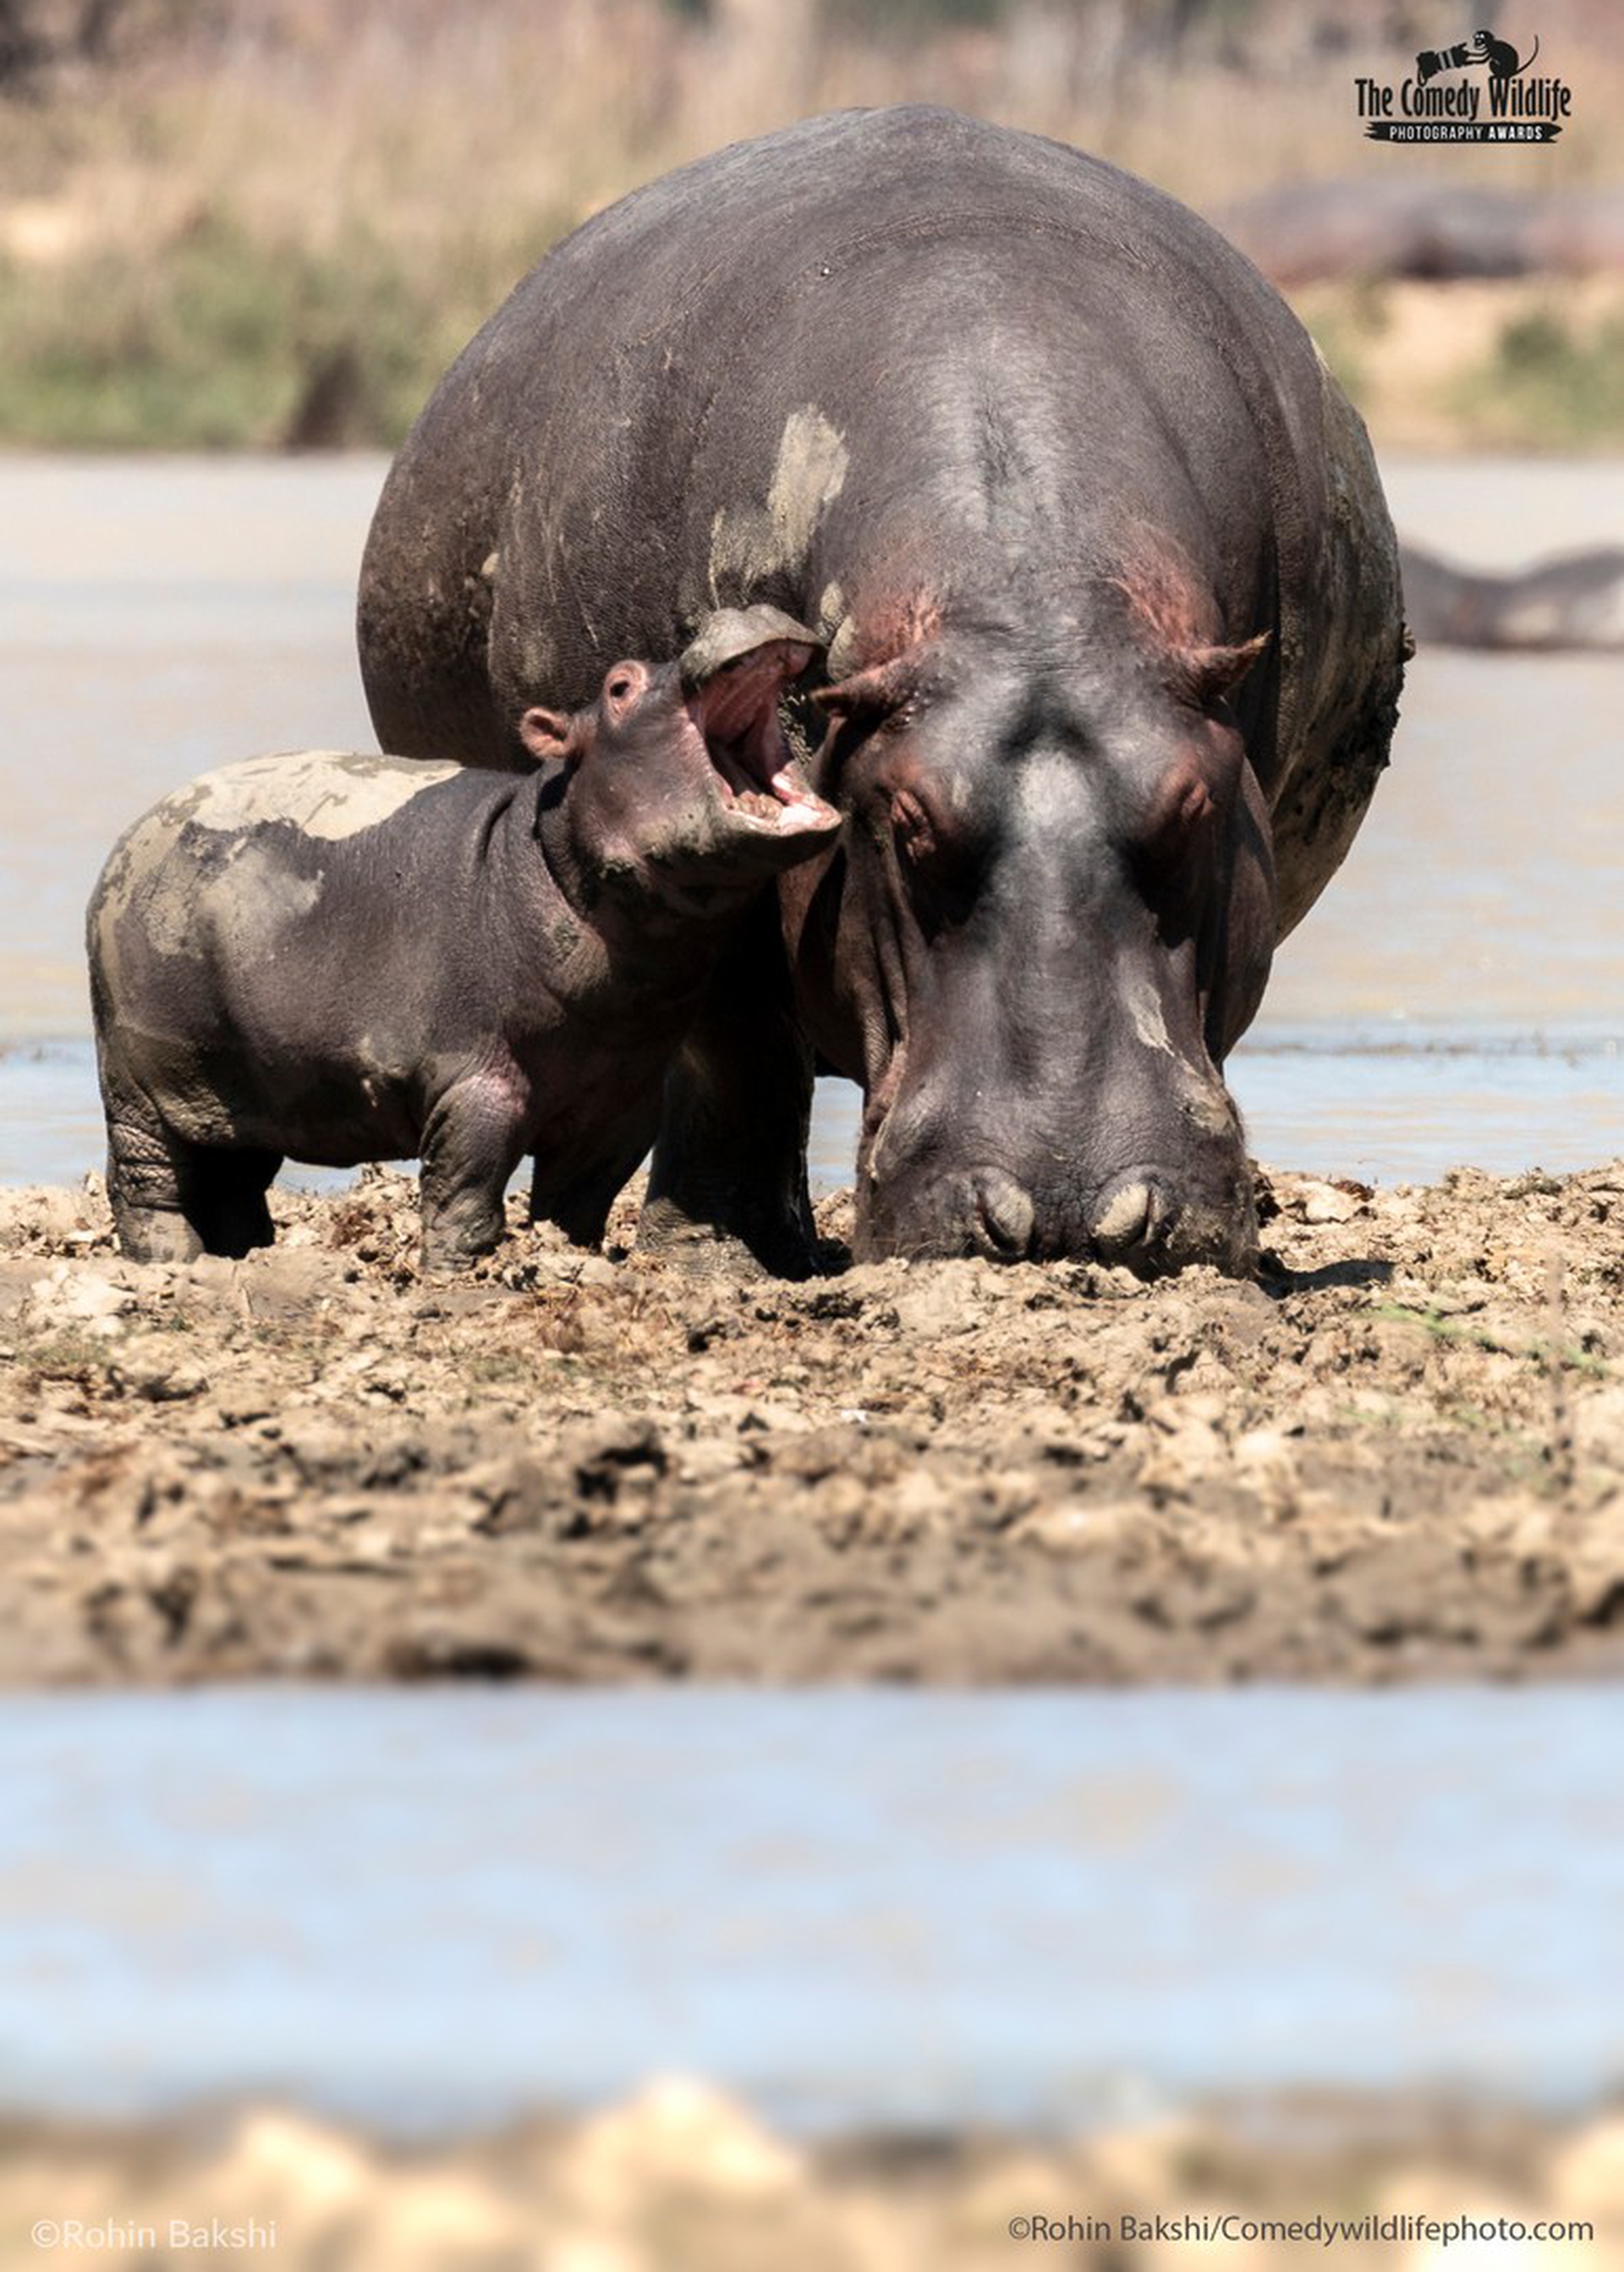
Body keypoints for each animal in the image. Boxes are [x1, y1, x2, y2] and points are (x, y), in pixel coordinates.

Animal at [87, 609, 835, 1272]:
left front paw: (569, 1257)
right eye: (619, 685)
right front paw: (459, 1273)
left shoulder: (622, 1102)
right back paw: (171, 1264)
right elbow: (465, 1189)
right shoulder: (476, 1080)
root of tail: (130, 838)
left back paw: (243, 1255)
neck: (547, 851)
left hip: (244, 1086)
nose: (739, 609)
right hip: (141, 1079)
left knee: (231, 1181)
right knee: (148, 1183)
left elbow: (578, 1203)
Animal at [358, 106, 1406, 1275]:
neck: (1026, 606)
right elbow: (734, 1044)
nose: (1073, 1207)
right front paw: (714, 1251)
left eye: (1195, 808)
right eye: (905, 824)